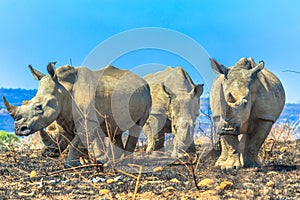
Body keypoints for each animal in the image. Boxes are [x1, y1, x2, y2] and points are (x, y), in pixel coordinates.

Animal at [3, 62, 151, 167]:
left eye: (39, 107)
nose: (19, 129)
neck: (63, 89)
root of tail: (142, 80)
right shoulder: (64, 117)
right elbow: (68, 139)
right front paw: (84, 162)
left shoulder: (88, 119)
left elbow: (75, 142)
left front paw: (70, 165)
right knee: (114, 129)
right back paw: (110, 163)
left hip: (146, 94)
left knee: (136, 127)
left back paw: (124, 164)